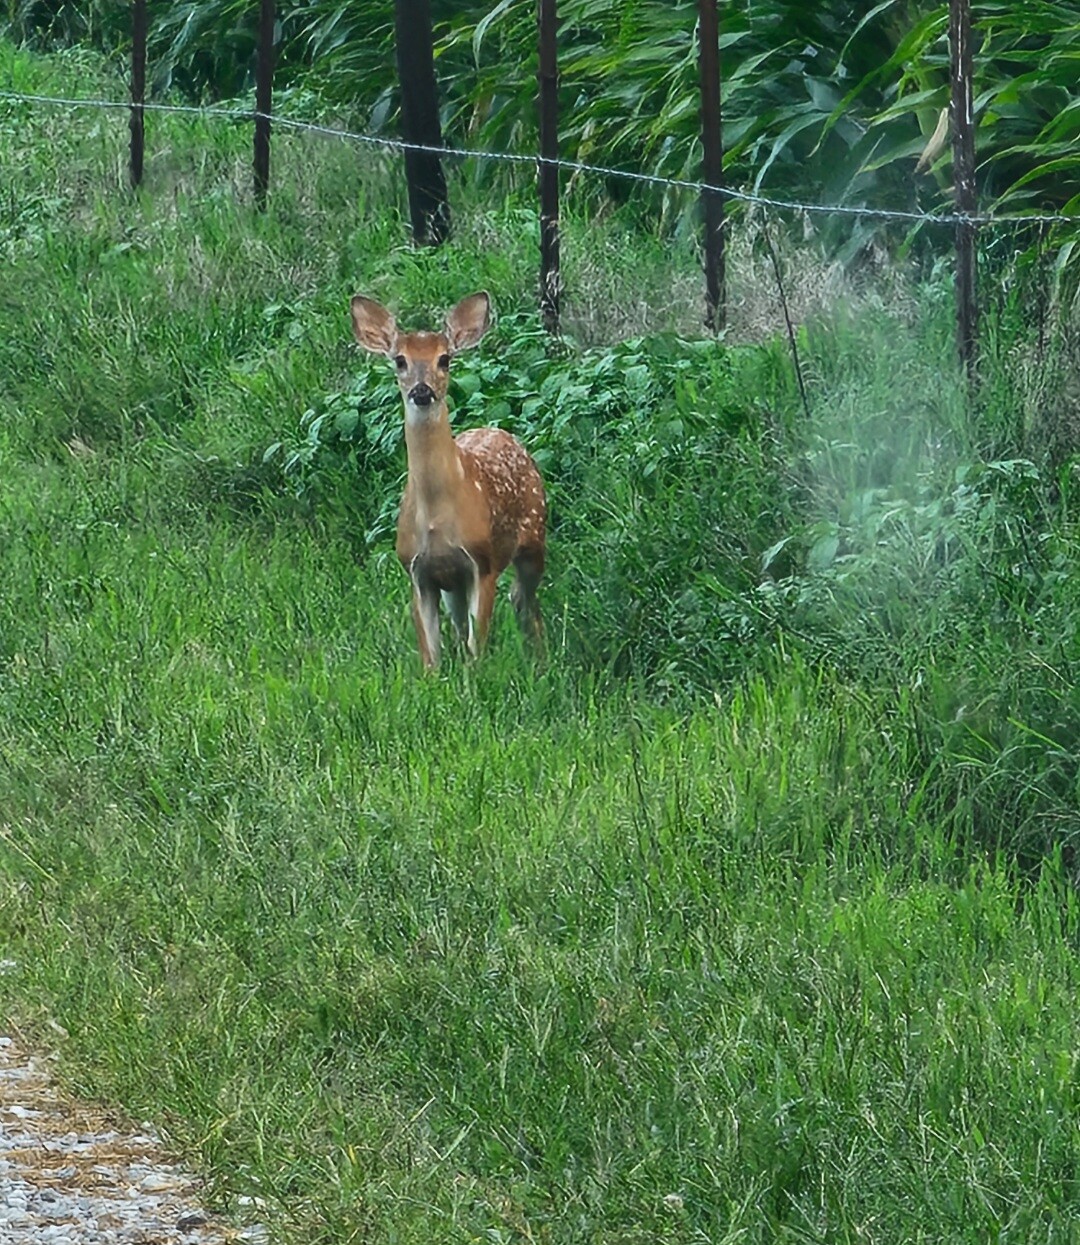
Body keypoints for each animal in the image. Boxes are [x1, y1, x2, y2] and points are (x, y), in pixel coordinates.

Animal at [350, 291, 546, 670]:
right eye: (400, 360)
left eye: (445, 359)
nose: (422, 391)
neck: (436, 518)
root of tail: (500, 431)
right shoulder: (417, 571)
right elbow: (432, 655)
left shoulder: (482, 563)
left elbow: (475, 645)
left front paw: (476, 680)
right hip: (453, 583)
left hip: (534, 535)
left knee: (523, 598)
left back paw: (539, 654)